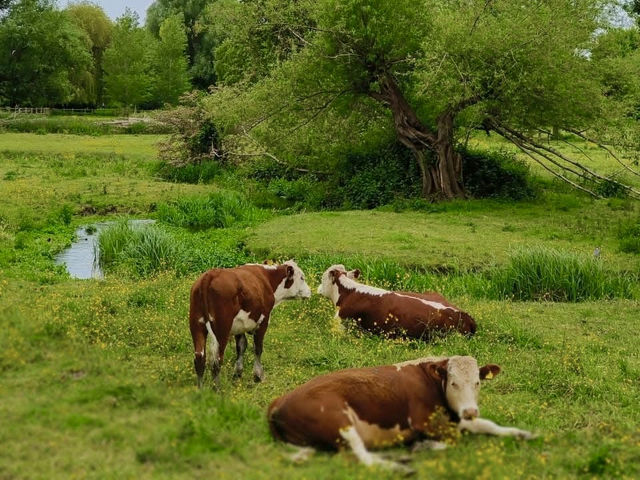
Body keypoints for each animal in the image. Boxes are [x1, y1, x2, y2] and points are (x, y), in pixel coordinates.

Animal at [189, 260, 312, 388]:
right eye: (302, 277)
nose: (310, 291)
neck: (268, 279)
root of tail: (210, 275)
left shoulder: (239, 325)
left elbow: (241, 347)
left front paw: (238, 373)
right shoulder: (263, 321)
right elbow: (257, 348)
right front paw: (258, 376)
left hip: (196, 324)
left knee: (199, 358)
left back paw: (201, 390)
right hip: (222, 328)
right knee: (216, 360)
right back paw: (216, 389)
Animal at [268, 356, 532, 472]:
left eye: (477, 382)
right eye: (453, 383)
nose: (469, 410)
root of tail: (279, 401)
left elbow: (488, 425)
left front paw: (522, 433)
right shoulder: (424, 421)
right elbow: (454, 439)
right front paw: (422, 446)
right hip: (338, 418)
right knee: (362, 457)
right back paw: (401, 466)